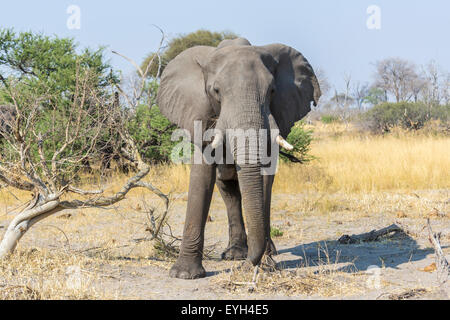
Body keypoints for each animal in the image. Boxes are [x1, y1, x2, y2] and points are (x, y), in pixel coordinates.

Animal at [156, 37, 322, 278]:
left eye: (272, 90)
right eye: (216, 91)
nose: (247, 267)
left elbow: (264, 177)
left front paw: (266, 265)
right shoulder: (200, 111)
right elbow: (201, 175)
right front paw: (184, 275)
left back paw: (263, 252)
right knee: (228, 189)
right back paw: (235, 254)